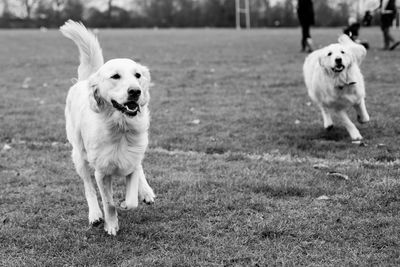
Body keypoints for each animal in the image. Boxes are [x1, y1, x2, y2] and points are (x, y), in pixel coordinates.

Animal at [60, 19, 155, 236]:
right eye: (115, 76)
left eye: (137, 75)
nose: (135, 91)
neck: (120, 128)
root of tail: (85, 80)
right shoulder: (101, 172)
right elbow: (108, 202)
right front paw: (111, 225)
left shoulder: (131, 160)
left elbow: (132, 198)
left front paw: (128, 202)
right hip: (79, 155)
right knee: (88, 187)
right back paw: (95, 215)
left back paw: (146, 192)